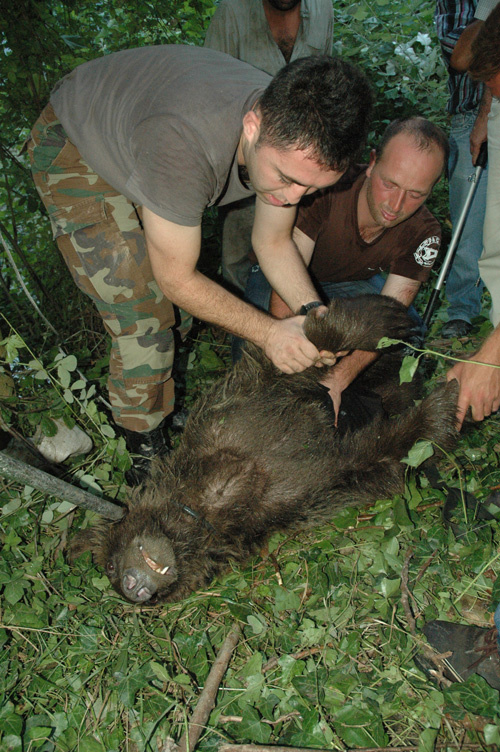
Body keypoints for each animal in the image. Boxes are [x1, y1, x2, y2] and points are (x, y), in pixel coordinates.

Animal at [71, 296, 460, 604]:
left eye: (111, 562)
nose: (132, 587)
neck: (207, 499)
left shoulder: (233, 411)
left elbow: (299, 354)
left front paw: (382, 316)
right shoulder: (290, 505)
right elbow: (378, 459)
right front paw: (439, 411)